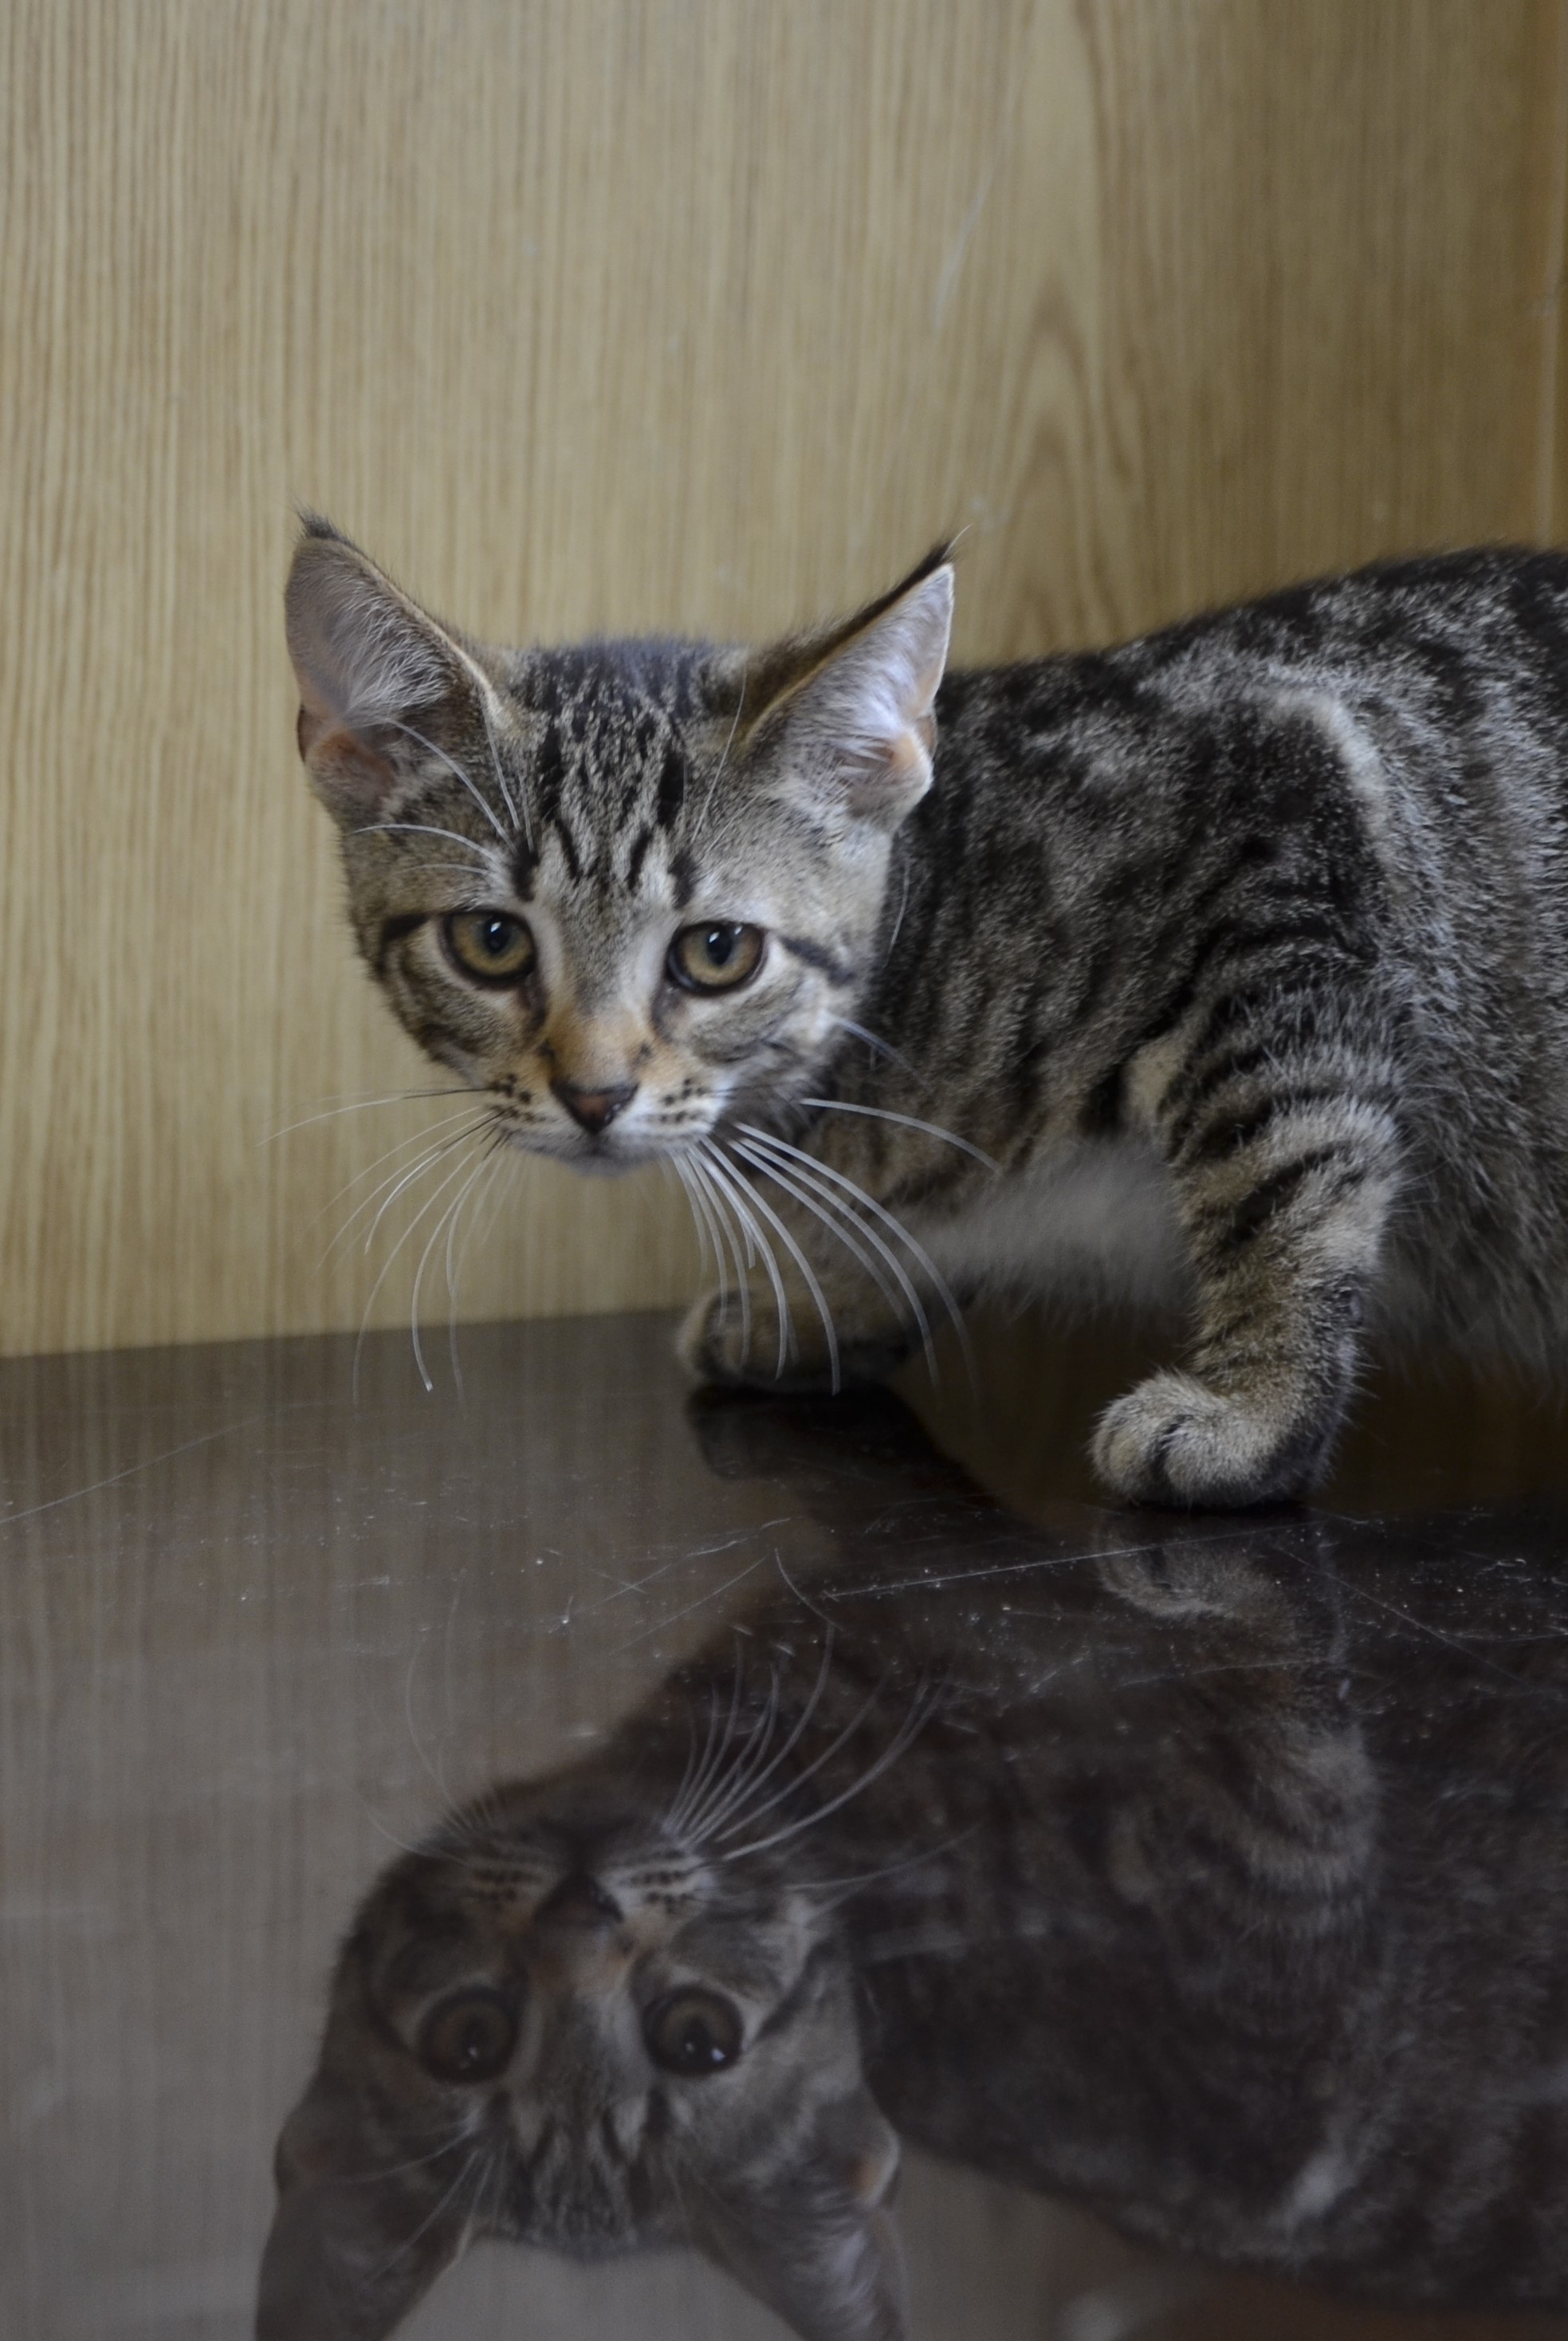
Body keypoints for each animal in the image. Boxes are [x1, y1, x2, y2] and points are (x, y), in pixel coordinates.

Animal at [286, 520, 1568, 1506]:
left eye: (716, 953)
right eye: (492, 941)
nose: (594, 1093)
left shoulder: (1285, 813)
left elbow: (1281, 1170)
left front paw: (1255, 1410)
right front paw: (819, 1307)